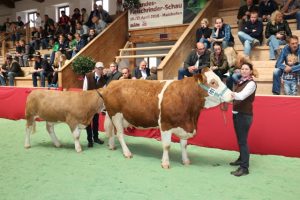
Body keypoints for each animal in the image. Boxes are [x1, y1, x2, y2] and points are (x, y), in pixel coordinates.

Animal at [102, 68, 233, 168]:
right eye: (213, 82)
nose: (232, 95)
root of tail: (112, 83)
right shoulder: (165, 125)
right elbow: (167, 145)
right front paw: (165, 163)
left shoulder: (184, 125)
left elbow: (184, 145)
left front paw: (185, 161)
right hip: (116, 115)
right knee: (119, 134)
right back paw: (127, 153)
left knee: (112, 132)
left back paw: (112, 146)